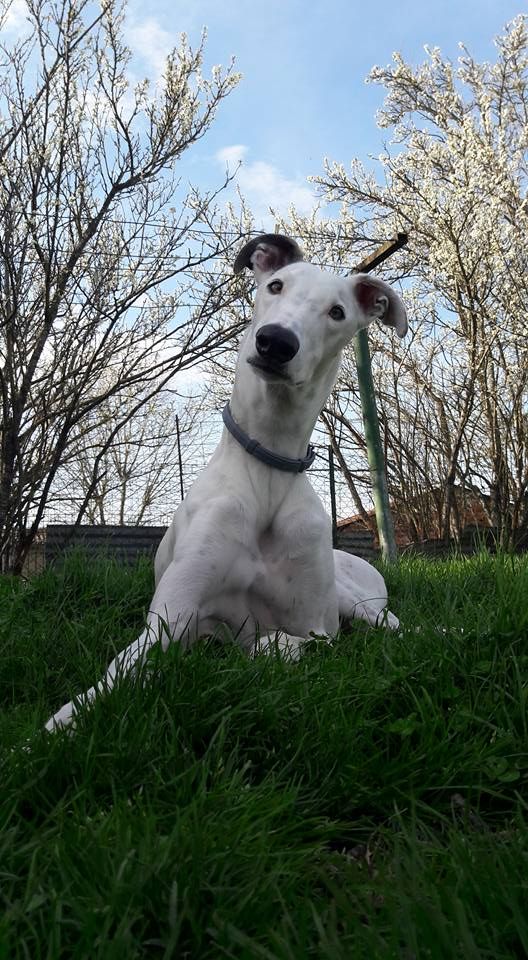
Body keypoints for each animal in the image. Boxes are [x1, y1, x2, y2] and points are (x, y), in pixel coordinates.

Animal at [45, 233, 407, 732]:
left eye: (337, 312)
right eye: (275, 285)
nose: (276, 342)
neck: (268, 465)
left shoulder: (318, 626)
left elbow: (294, 642)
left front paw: (264, 647)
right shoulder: (166, 623)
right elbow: (115, 673)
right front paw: (51, 730)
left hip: (360, 603)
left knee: (401, 630)